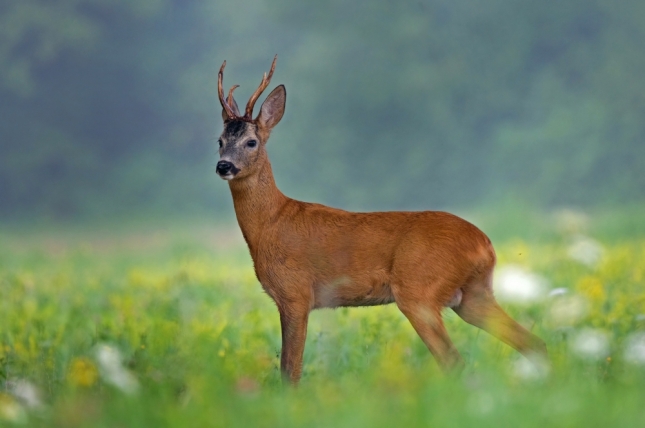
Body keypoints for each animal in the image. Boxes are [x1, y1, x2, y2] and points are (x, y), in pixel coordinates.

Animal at [214, 56, 544, 384]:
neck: (270, 223)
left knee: (455, 361)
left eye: (251, 142)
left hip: (419, 290)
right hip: (473, 295)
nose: (223, 166)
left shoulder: (295, 293)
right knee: (534, 343)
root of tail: (485, 244)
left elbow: (290, 371)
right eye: (219, 140)